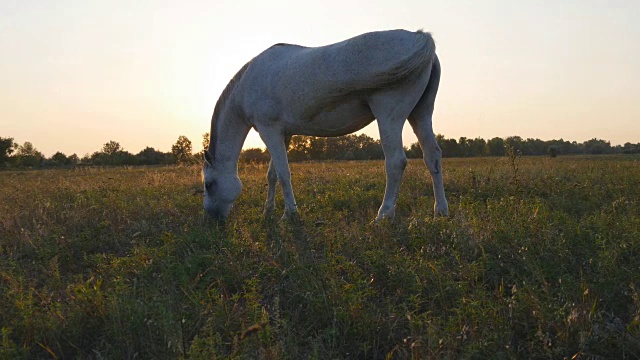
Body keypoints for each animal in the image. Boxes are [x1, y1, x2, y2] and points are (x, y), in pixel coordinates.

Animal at [202, 30, 448, 222]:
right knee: (432, 157)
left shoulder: (268, 130)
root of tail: (420, 37)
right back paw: (440, 211)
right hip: (421, 115)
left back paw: (384, 214)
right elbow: (272, 174)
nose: (211, 219)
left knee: (396, 162)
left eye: (209, 185)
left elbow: (283, 173)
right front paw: (268, 211)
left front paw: (289, 214)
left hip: (389, 118)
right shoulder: (283, 134)